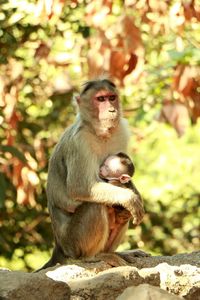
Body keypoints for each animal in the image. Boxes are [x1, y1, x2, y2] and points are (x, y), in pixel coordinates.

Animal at [38, 77, 145, 270]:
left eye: (111, 98)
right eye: (100, 99)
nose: (111, 109)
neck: (99, 133)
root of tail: (59, 247)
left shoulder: (121, 129)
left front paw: (134, 193)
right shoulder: (79, 141)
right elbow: (80, 188)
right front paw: (130, 198)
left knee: (121, 213)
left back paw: (114, 252)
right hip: (72, 242)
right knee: (96, 205)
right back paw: (91, 256)